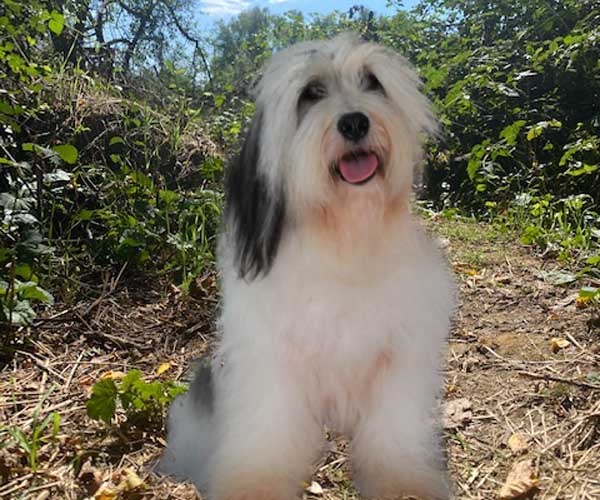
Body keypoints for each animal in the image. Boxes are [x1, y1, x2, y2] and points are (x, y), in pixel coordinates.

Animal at [159, 34, 455, 500]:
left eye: (372, 81)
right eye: (310, 94)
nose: (354, 123)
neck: (345, 240)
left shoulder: (400, 357)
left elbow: (395, 431)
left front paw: (403, 483)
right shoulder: (269, 361)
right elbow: (268, 430)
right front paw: (255, 485)